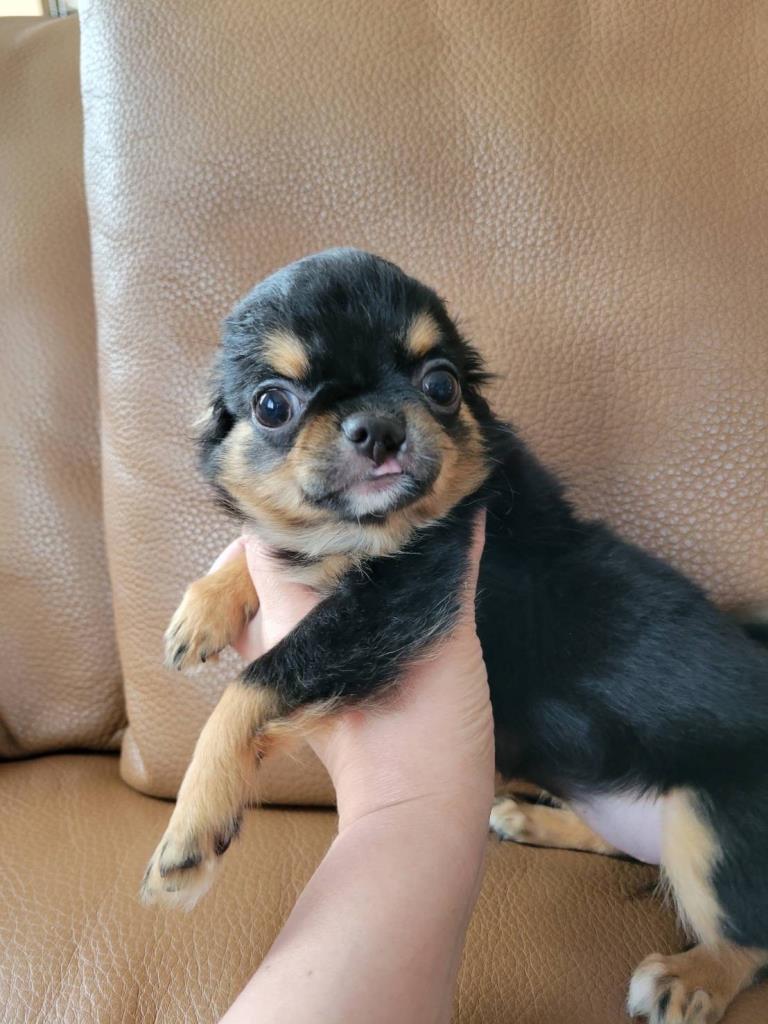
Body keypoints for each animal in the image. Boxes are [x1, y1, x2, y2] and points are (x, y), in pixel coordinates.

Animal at [141, 247, 768, 1023]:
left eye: (440, 386)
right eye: (271, 406)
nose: (377, 426)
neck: (371, 533)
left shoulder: (401, 599)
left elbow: (256, 683)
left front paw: (191, 826)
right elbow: (262, 546)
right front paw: (203, 607)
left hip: (713, 824)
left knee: (748, 936)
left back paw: (692, 977)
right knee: (634, 850)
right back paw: (533, 821)